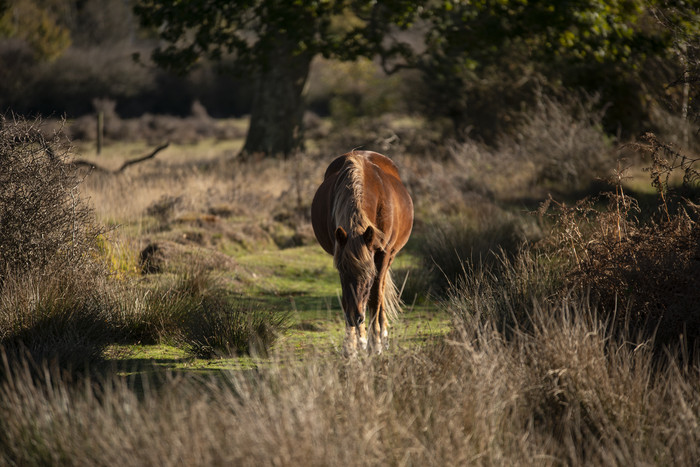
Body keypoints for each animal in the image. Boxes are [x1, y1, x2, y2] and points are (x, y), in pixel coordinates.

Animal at [310, 151, 412, 354]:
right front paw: (352, 344)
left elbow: (375, 297)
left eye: (369, 275)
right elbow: (346, 299)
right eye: (342, 273)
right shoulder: (340, 255)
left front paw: (376, 342)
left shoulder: (383, 255)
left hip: (390, 256)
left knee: (380, 292)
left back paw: (382, 336)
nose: (354, 318)